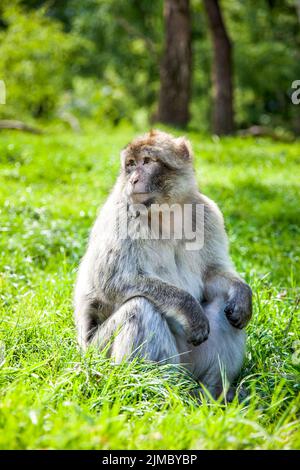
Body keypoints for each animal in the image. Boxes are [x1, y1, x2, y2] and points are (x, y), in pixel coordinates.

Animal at [74, 130, 252, 398]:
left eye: (147, 161)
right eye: (131, 164)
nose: (133, 179)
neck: (165, 210)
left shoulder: (208, 213)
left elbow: (212, 273)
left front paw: (242, 292)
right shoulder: (121, 215)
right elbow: (111, 281)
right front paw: (189, 308)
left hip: (191, 362)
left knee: (223, 306)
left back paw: (211, 394)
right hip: (98, 353)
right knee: (140, 307)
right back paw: (155, 390)